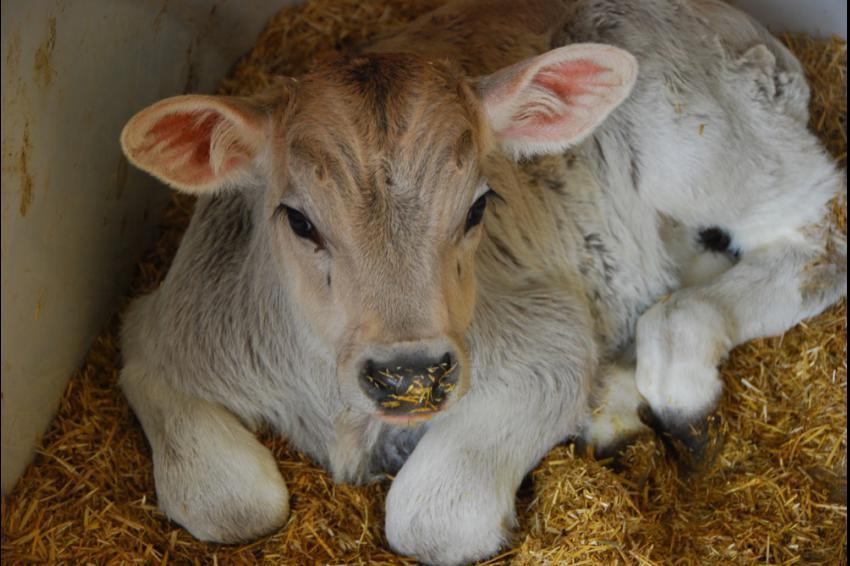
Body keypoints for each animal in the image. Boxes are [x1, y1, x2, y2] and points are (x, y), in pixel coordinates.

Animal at [117, 2, 840, 564]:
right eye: (297, 220)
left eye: (477, 206)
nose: (410, 376)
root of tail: (743, 22)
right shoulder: (165, 326)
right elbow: (229, 503)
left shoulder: (547, 336)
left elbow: (431, 518)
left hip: (693, 140)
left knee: (819, 228)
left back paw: (671, 385)